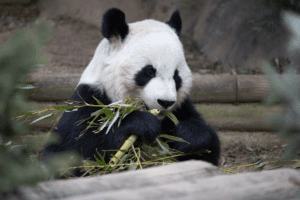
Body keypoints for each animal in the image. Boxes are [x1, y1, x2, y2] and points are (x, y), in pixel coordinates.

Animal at [42, 8, 220, 170]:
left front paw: (189, 135)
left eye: (176, 75)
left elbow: (207, 153)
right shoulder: (90, 99)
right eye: (149, 71)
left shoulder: (180, 108)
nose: (165, 102)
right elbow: (71, 150)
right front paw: (141, 124)